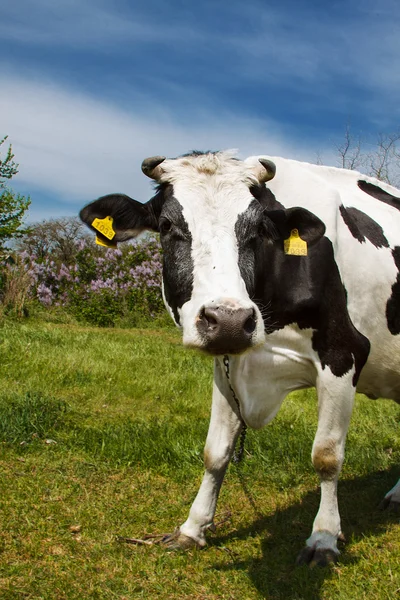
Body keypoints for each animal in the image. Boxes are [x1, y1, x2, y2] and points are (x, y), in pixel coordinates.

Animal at [79, 151, 400, 568]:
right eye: (166, 226)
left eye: (259, 229)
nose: (230, 320)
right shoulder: (226, 363)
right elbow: (215, 452)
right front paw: (192, 528)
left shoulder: (343, 353)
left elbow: (326, 457)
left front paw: (324, 537)